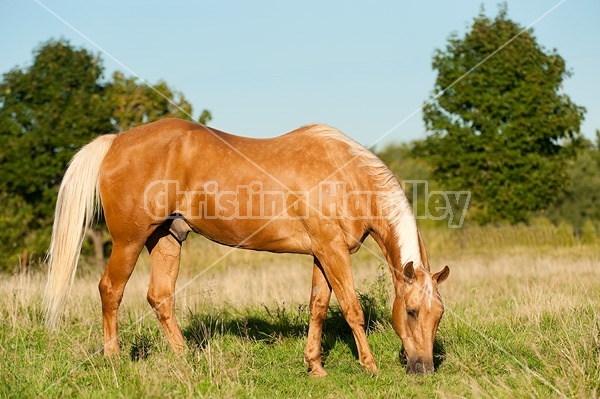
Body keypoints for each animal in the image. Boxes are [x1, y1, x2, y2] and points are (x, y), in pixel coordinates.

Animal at [44, 118, 448, 376]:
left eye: (438, 315)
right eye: (411, 311)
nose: (424, 369)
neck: (345, 175)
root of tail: (115, 141)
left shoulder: (323, 253)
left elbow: (318, 307)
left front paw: (315, 366)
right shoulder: (332, 252)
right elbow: (351, 309)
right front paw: (370, 366)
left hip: (166, 239)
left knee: (160, 298)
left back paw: (186, 359)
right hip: (129, 242)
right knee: (111, 290)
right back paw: (113, 359)